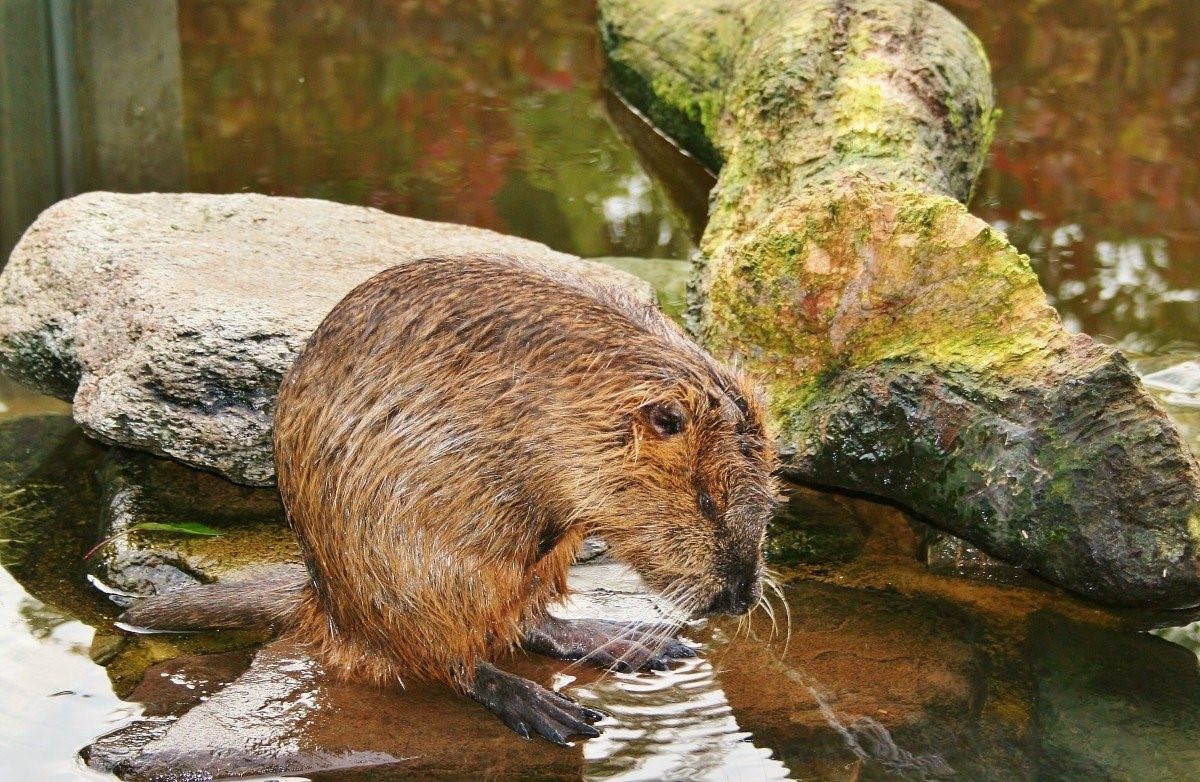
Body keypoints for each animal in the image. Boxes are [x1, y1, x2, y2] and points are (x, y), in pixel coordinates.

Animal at [121, 255, 777, 743]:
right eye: (708, 500)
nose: (739, 598)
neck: (580, 395)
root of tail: (322, 603)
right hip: (408, 575)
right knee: (449, 657)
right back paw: (549, 710)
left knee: (523, 620)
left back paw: (638, 645)